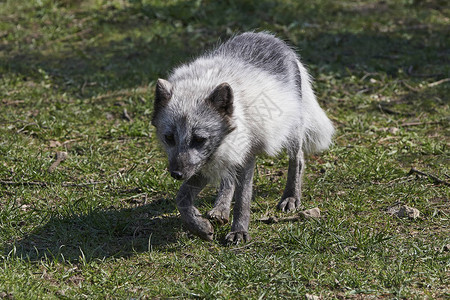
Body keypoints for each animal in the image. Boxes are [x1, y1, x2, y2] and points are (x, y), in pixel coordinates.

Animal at [153, 32, 332, 244]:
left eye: (199, 139)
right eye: (169, 138)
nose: (177, 174)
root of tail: (270, 37)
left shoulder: (243, 156)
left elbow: (243, 199)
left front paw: (239, 231)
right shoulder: (207, 161)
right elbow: (181, 198)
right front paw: (200, 227)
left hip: (292, 129)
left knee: (298, 160)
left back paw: (291, 197)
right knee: (228, 179)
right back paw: (220, 208)